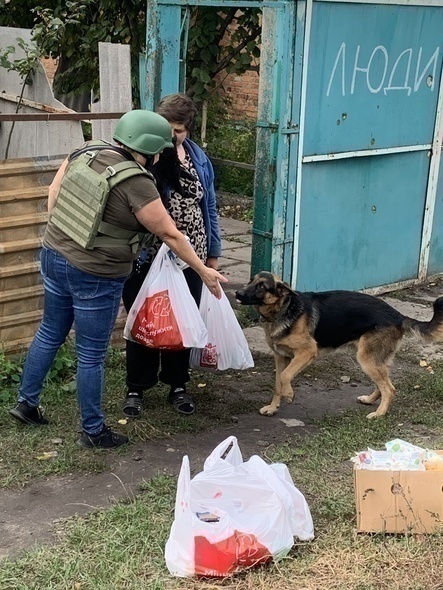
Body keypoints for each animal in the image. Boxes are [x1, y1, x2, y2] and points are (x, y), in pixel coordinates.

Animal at [238, 274, 443, 420]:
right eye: (250, 281)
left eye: (262, 286)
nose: (238, 294)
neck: (285, 308)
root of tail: (398, 315)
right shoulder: (281, 357)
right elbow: (277, 383)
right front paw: (273, 407)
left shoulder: (307, 352)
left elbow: (285, 376)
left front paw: (289, 394)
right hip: (373, 360)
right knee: (384, 383)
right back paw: (371, 400)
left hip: (366, 360)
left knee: (389, 389)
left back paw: (379, 414)